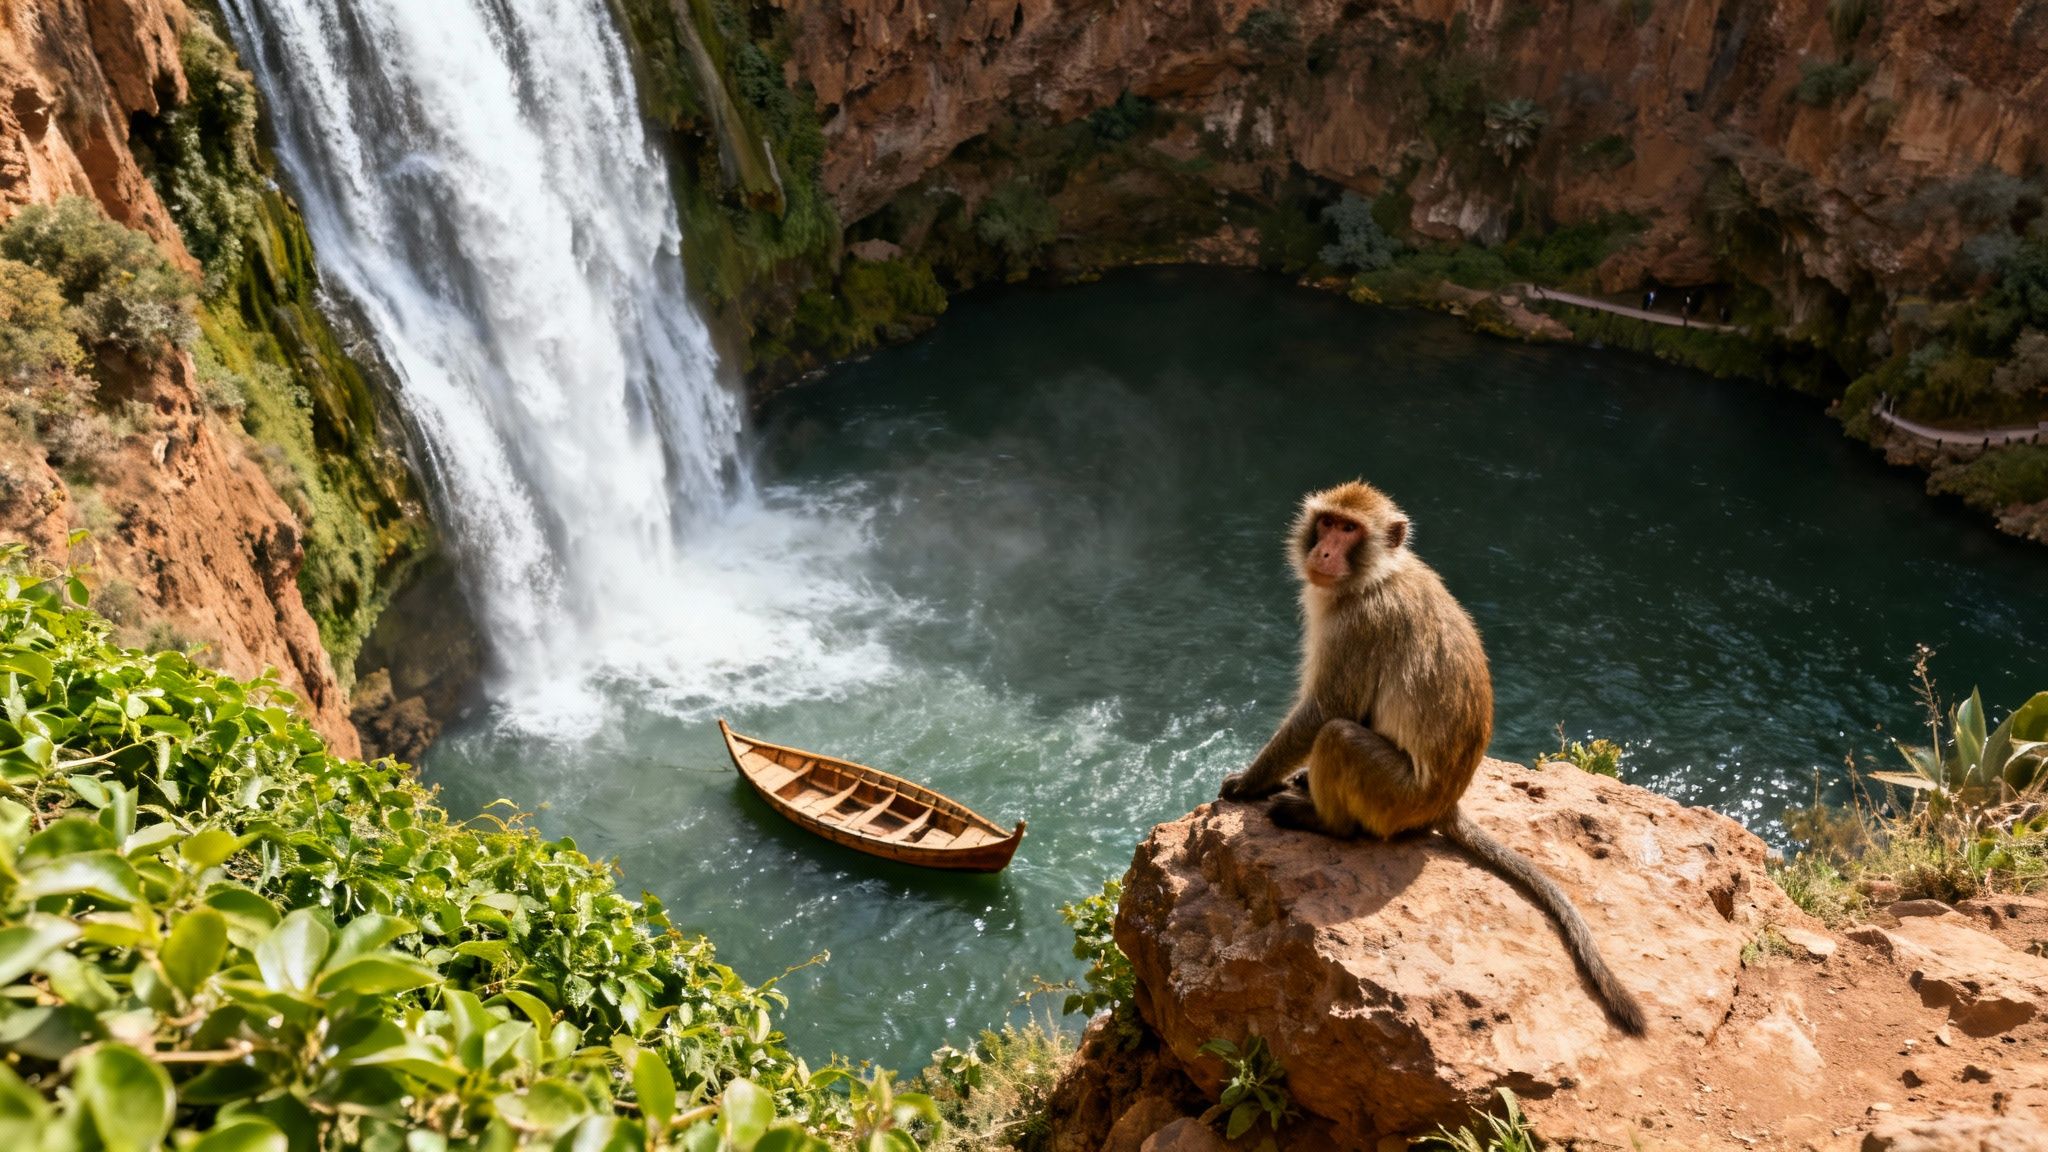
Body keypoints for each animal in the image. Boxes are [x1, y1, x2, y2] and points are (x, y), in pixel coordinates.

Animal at [1218, 480, 1647, 1035]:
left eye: (1349, 530)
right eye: (1328, 523)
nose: (1325, 550)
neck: (1374, 576)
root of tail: (1446, 805)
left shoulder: (1359, 624)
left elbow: (1327, 712)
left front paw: (1249, 783)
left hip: (1395, 797)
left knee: (1338, 737)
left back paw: (1325, 822)